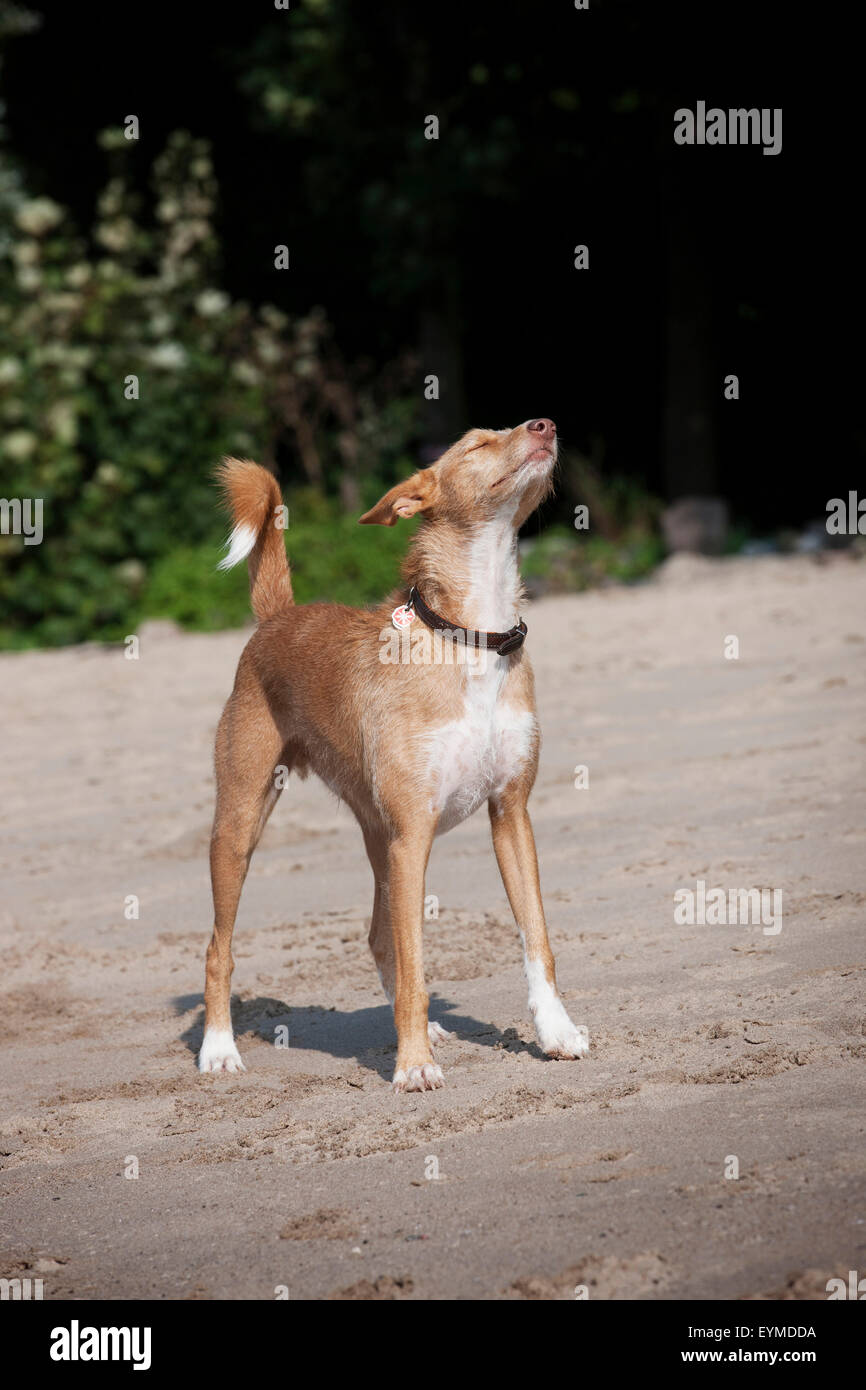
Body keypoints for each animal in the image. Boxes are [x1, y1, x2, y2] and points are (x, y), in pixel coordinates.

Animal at [198, 417, 589, 1089]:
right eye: (478, 444)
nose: (546, 424)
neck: (470, 638)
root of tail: (278, 618)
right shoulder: (414, 835)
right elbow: (416, 969)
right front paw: (414, 1066)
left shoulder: (511, 815)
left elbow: (536, 941)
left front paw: (555, 1032)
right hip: (242, 823)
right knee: (218, 948)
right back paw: (219, 1049)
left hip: (377, 840)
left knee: (379, 939)